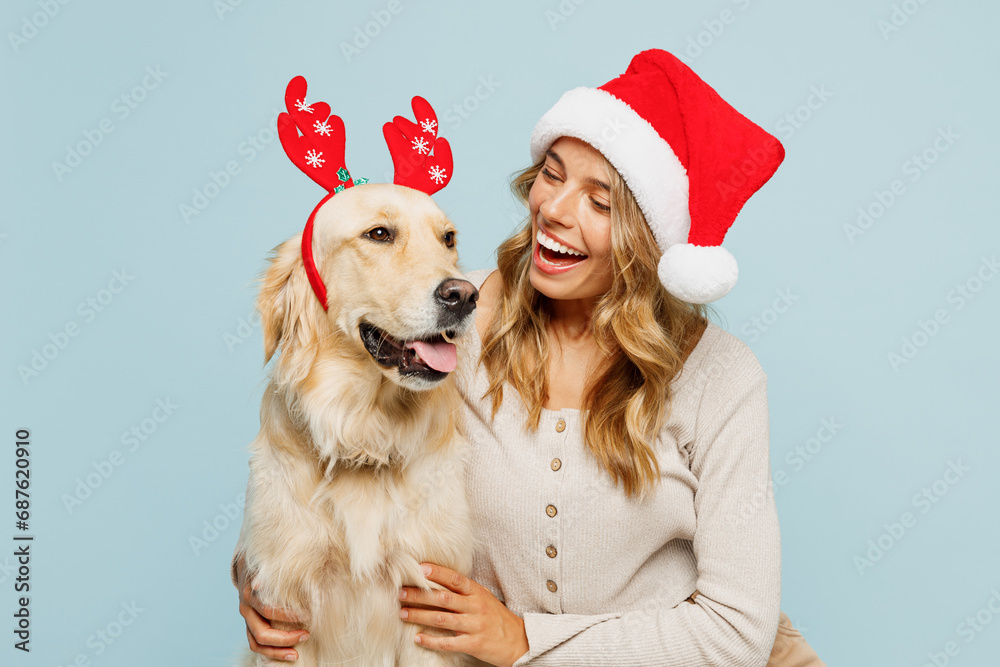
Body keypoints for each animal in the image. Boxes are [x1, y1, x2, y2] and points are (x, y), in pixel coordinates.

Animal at [236, 183, 482, 667]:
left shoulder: (428, 605)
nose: (464, 295)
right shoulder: (285, 612)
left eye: (448, 239)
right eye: (379, 233)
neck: (363, 433)